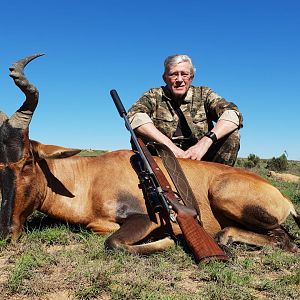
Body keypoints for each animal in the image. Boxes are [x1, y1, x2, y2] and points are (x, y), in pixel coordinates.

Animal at [0, 54, 298, 258]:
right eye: (1, 164)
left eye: (28, 161)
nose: (6, 234)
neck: (90, 178)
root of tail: (282, 196)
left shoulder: (143, 217)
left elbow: (114, 242)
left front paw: (168, 239)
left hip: (225, 195)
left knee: (285, 239)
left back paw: (223, 237)